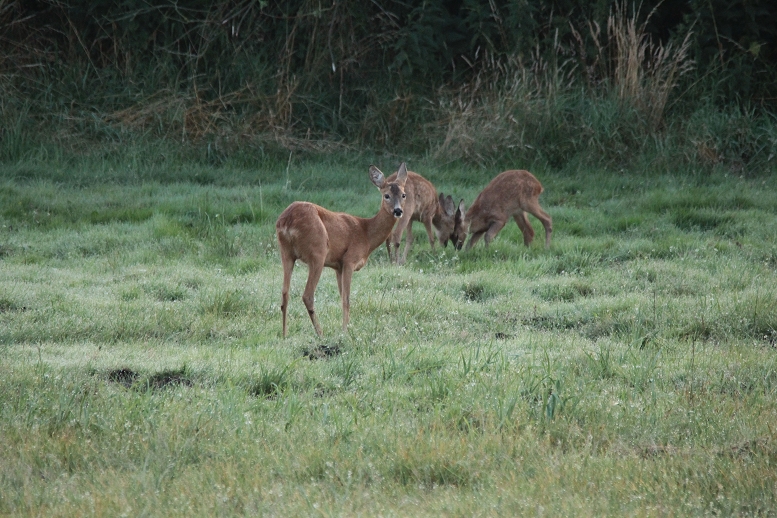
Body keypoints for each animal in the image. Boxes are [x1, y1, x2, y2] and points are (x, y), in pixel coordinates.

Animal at [276, 165, 410, 340]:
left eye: (403, 194)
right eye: (386, 195)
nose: (398, 211)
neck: (366, 234)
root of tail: (288, 221)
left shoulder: (337, 266)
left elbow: (341, 297)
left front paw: (346, 328)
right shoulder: (349, 260)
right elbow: (346, 299)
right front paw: (345, 331)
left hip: (285, 252)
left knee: (284, 293)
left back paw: (284, 335)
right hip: (318, 252)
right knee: (307, 295)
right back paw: (320, 334)